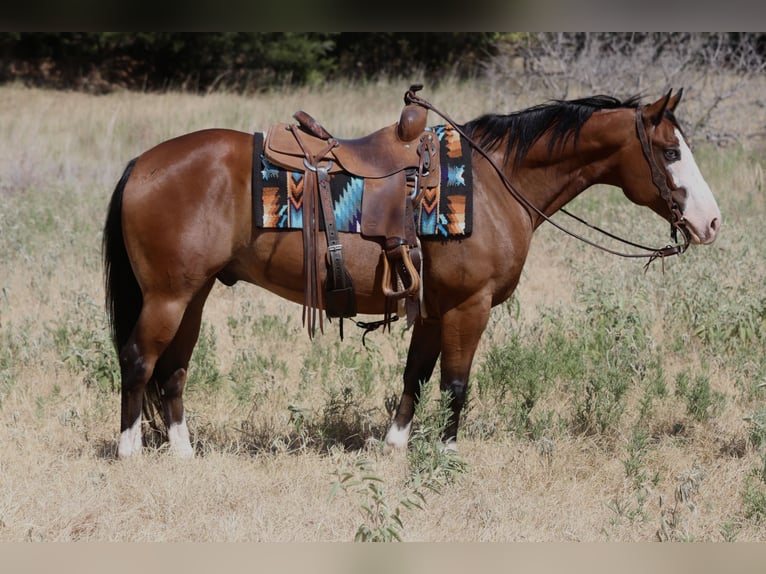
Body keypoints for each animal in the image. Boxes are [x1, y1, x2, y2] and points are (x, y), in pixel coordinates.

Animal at [103, 88, 721, 459]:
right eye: (670, 152)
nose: (711, 221)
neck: (493, 185)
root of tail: (141, 164)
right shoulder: (470, 306)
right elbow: (455, 384)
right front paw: (447, 455)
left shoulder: (435, 307)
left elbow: (415, 377)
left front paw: (395, 446)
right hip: (168, 296)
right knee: (139, 360)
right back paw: (130, 450)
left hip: (194, 294)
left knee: (173, 370)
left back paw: (183, 452)